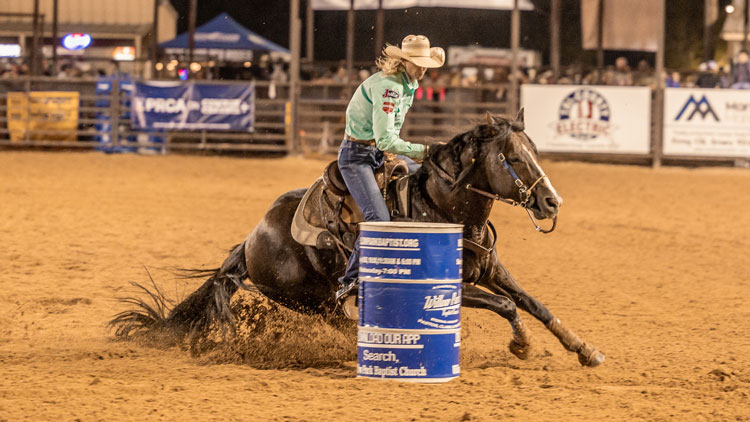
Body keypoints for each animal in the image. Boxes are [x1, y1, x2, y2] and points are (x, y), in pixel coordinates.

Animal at [111, 111, 604, 366]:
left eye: (535, 152)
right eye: (511, 158)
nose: (552, 202)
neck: (445, 209)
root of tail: (250, 243)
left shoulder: (491, 268)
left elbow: (533, 303)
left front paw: (584, 349)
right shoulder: (453, 285)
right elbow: (505, 305)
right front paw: (521, 345)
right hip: (309, 298)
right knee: (341, 320)